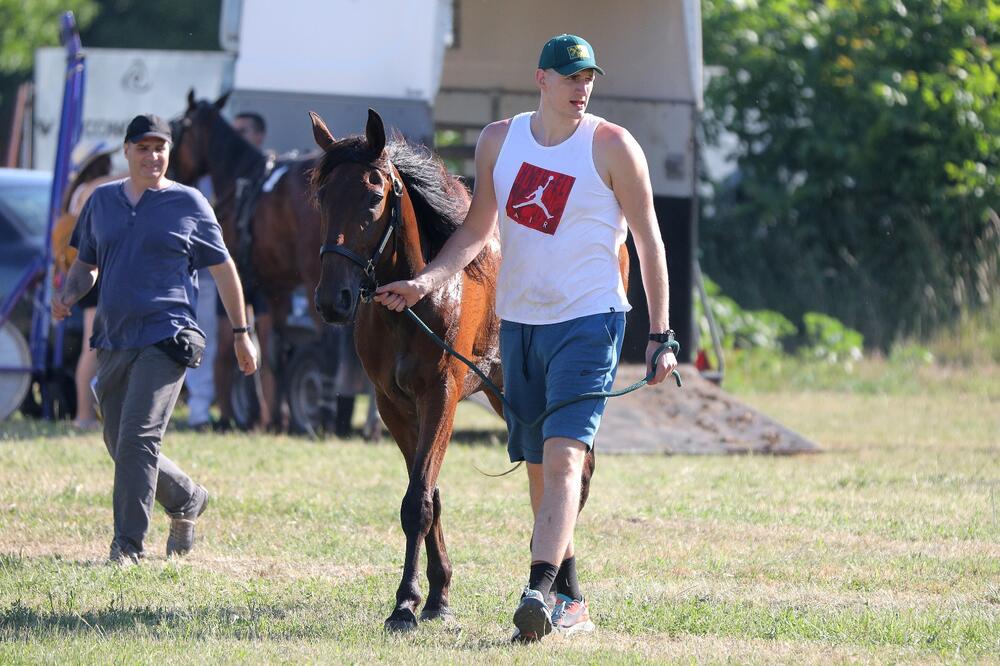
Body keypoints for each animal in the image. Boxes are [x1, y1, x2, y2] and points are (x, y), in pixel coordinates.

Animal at [310, 109, 516, 628]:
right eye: (322, 197)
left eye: (373, 196)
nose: (332, 299)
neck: (414, 299)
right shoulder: (393, 405)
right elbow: (428, 494)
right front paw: (433, 595)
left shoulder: (440, 397)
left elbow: (418, 500)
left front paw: (407, 602)